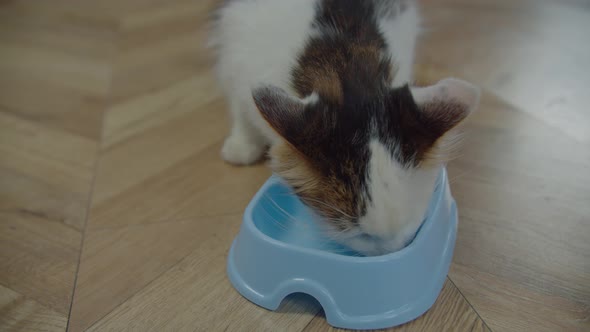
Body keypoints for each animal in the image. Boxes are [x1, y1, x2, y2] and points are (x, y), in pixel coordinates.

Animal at [208, 0, 480, 256]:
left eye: (412, 224)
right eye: (362, 235)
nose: (390, 253)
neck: (345, 64)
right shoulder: (237, 54)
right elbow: (239, 103)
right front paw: (242, 143)